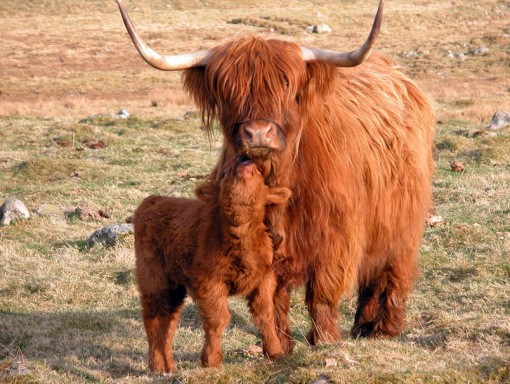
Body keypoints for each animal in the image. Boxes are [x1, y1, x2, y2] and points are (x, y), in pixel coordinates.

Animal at [132, 160, 290, 372]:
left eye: (258, 172)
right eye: (225, 173)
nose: (245, 163)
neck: (239, 235)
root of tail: (153, 200)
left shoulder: (264, 279)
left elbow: (265, 315)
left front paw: (276, 353)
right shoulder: (209, 282)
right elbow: (217, 319)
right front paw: (212, 361)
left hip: (174, 287)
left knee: (169, 321)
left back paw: (169, 366)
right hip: (153, 279)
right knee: (154, 317)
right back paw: (157, 366)